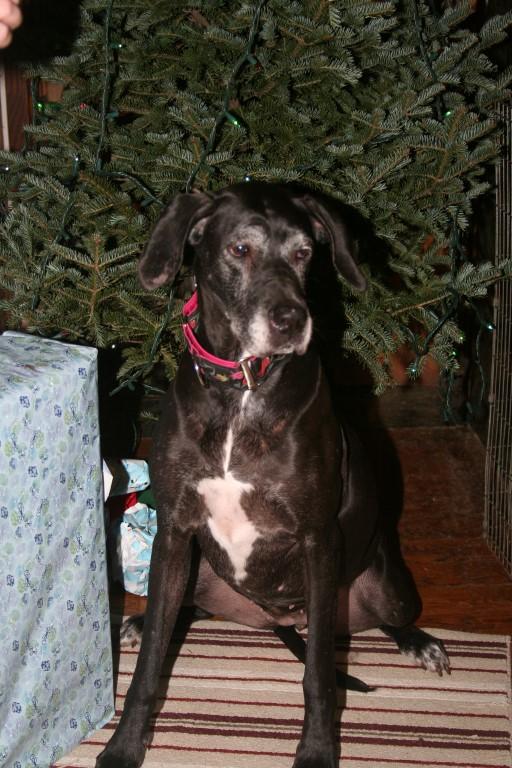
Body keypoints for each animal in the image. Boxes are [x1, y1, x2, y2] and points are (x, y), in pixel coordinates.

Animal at [97, 183, 449, 768]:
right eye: (240, 250)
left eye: (305, 253)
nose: (291, 321)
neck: (242, 390)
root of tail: (276, 622)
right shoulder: (174, 531)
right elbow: (151, 664)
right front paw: (124, 745)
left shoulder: (317, 539)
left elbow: (318, 676)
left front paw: (317, 750)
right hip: (204, 573)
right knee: (189, 610)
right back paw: (138, 621)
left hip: (387, 585)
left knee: (387, 616)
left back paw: (420, 643)